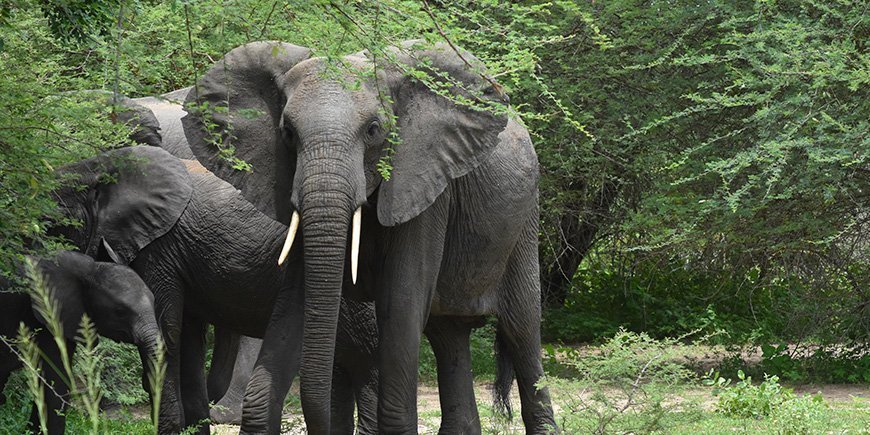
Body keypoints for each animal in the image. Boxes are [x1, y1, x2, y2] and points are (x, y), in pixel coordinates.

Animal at [182, 40, 560, 432]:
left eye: (373, 130)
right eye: (287, 133)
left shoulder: (423, 183)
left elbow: (401, 301)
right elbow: (295, 300)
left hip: (524, 223)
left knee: (521, 330)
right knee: (449, 336)